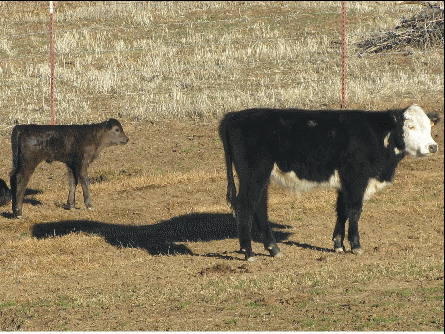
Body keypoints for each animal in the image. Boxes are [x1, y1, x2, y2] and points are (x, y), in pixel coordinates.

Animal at [219, 104, 438, 260]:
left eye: (429, 126)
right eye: (410, 126)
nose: (433, 146)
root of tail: (235, 115)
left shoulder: (345, 183)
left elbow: (342, 210)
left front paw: (338, 245)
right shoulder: (356, 177)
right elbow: (355, 210)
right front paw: (356, 245)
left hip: (261, 176)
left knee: (260, 208)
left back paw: (273, 249)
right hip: (254, 173)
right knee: (246, 206)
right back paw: (248, 252)